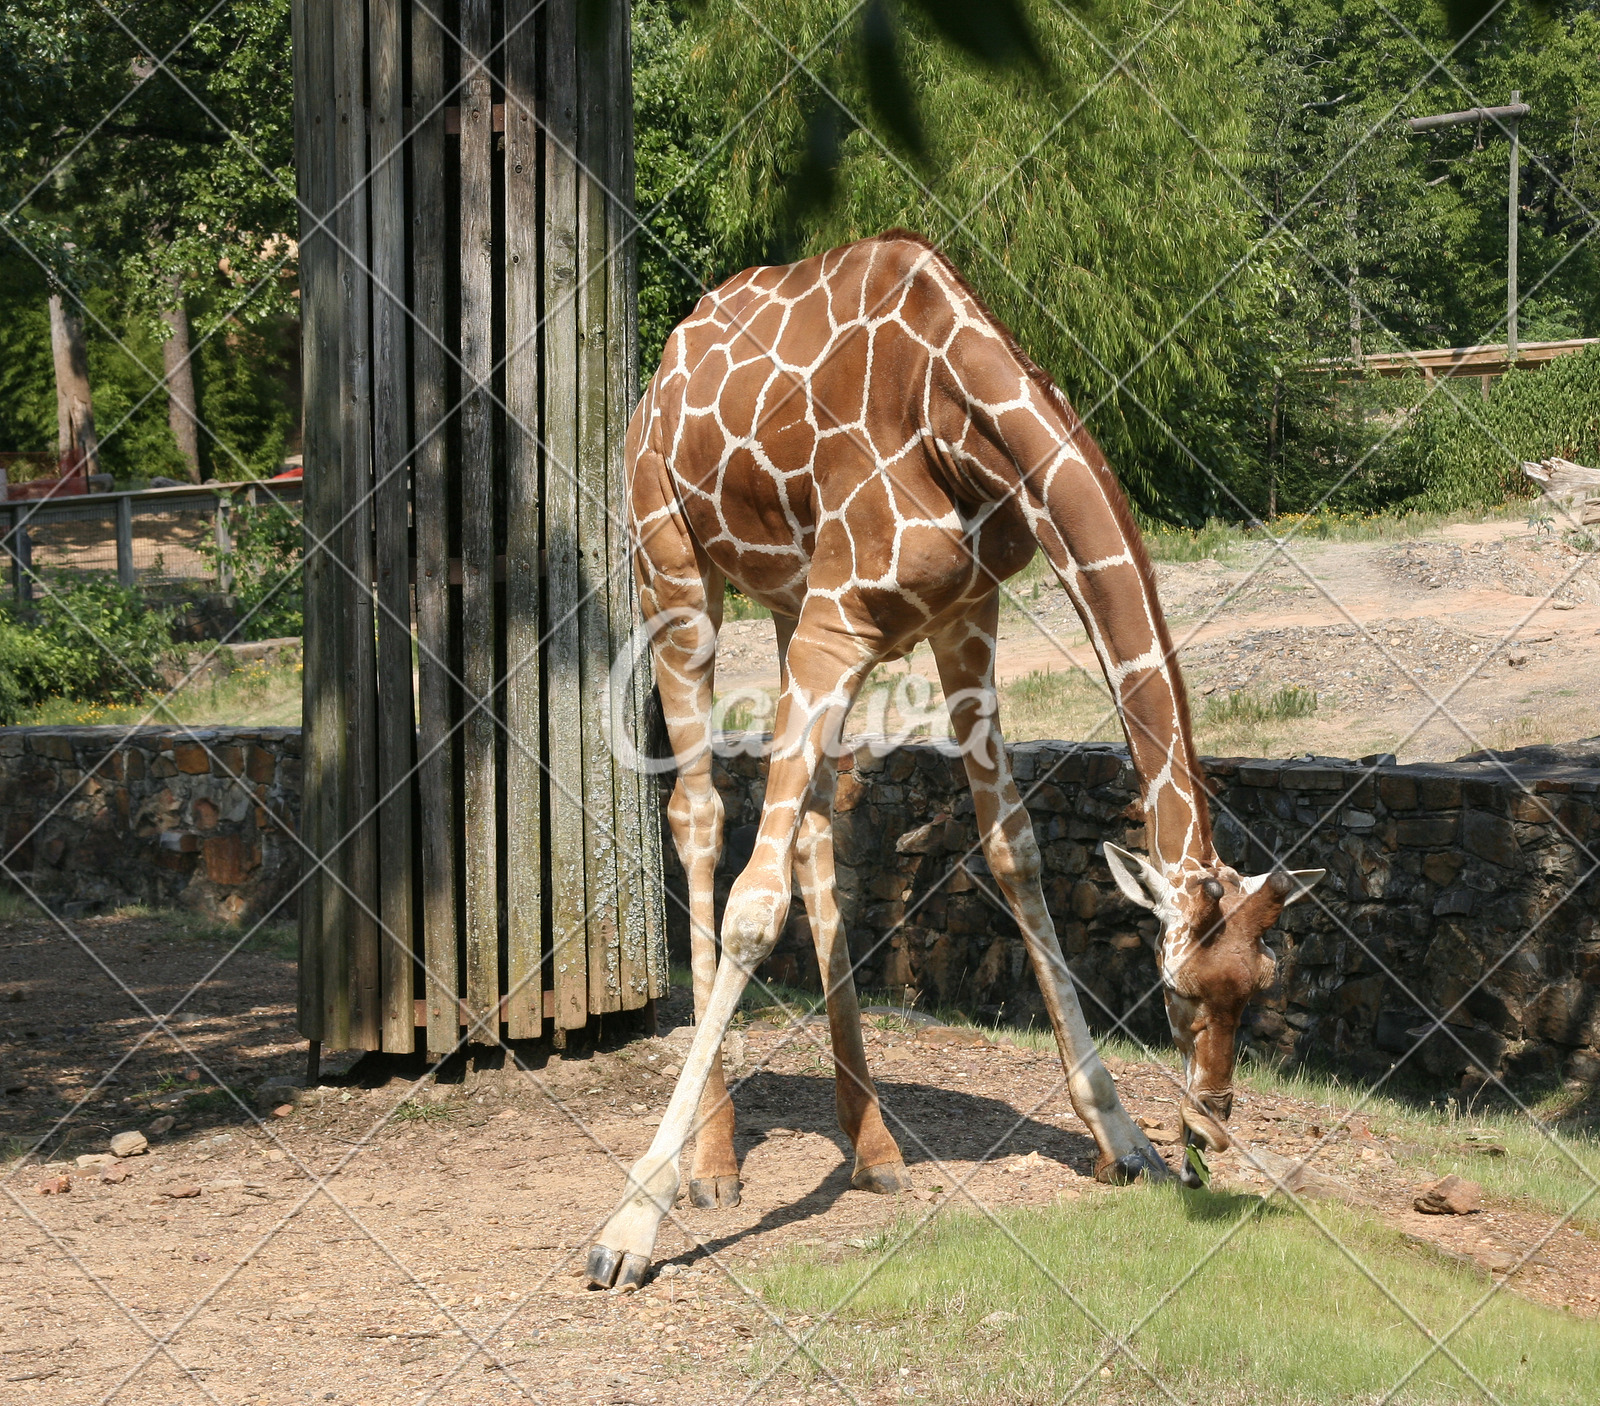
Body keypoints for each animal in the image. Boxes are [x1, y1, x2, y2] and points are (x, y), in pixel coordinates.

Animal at [588, 228, 1324, 1286]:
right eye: (1178, 992)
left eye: (1261, 988)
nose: (1208, 1131)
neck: (957, 418)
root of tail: (663, 366)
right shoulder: (840, 614)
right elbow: (751, 908)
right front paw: (626, 1229)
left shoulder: (960, 616)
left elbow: (1015, 849)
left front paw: (1121, 1141)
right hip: (674, 568)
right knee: (698, 812)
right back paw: (713, 1165)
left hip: (789, 604)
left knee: (814, 823)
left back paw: (873, 1147)